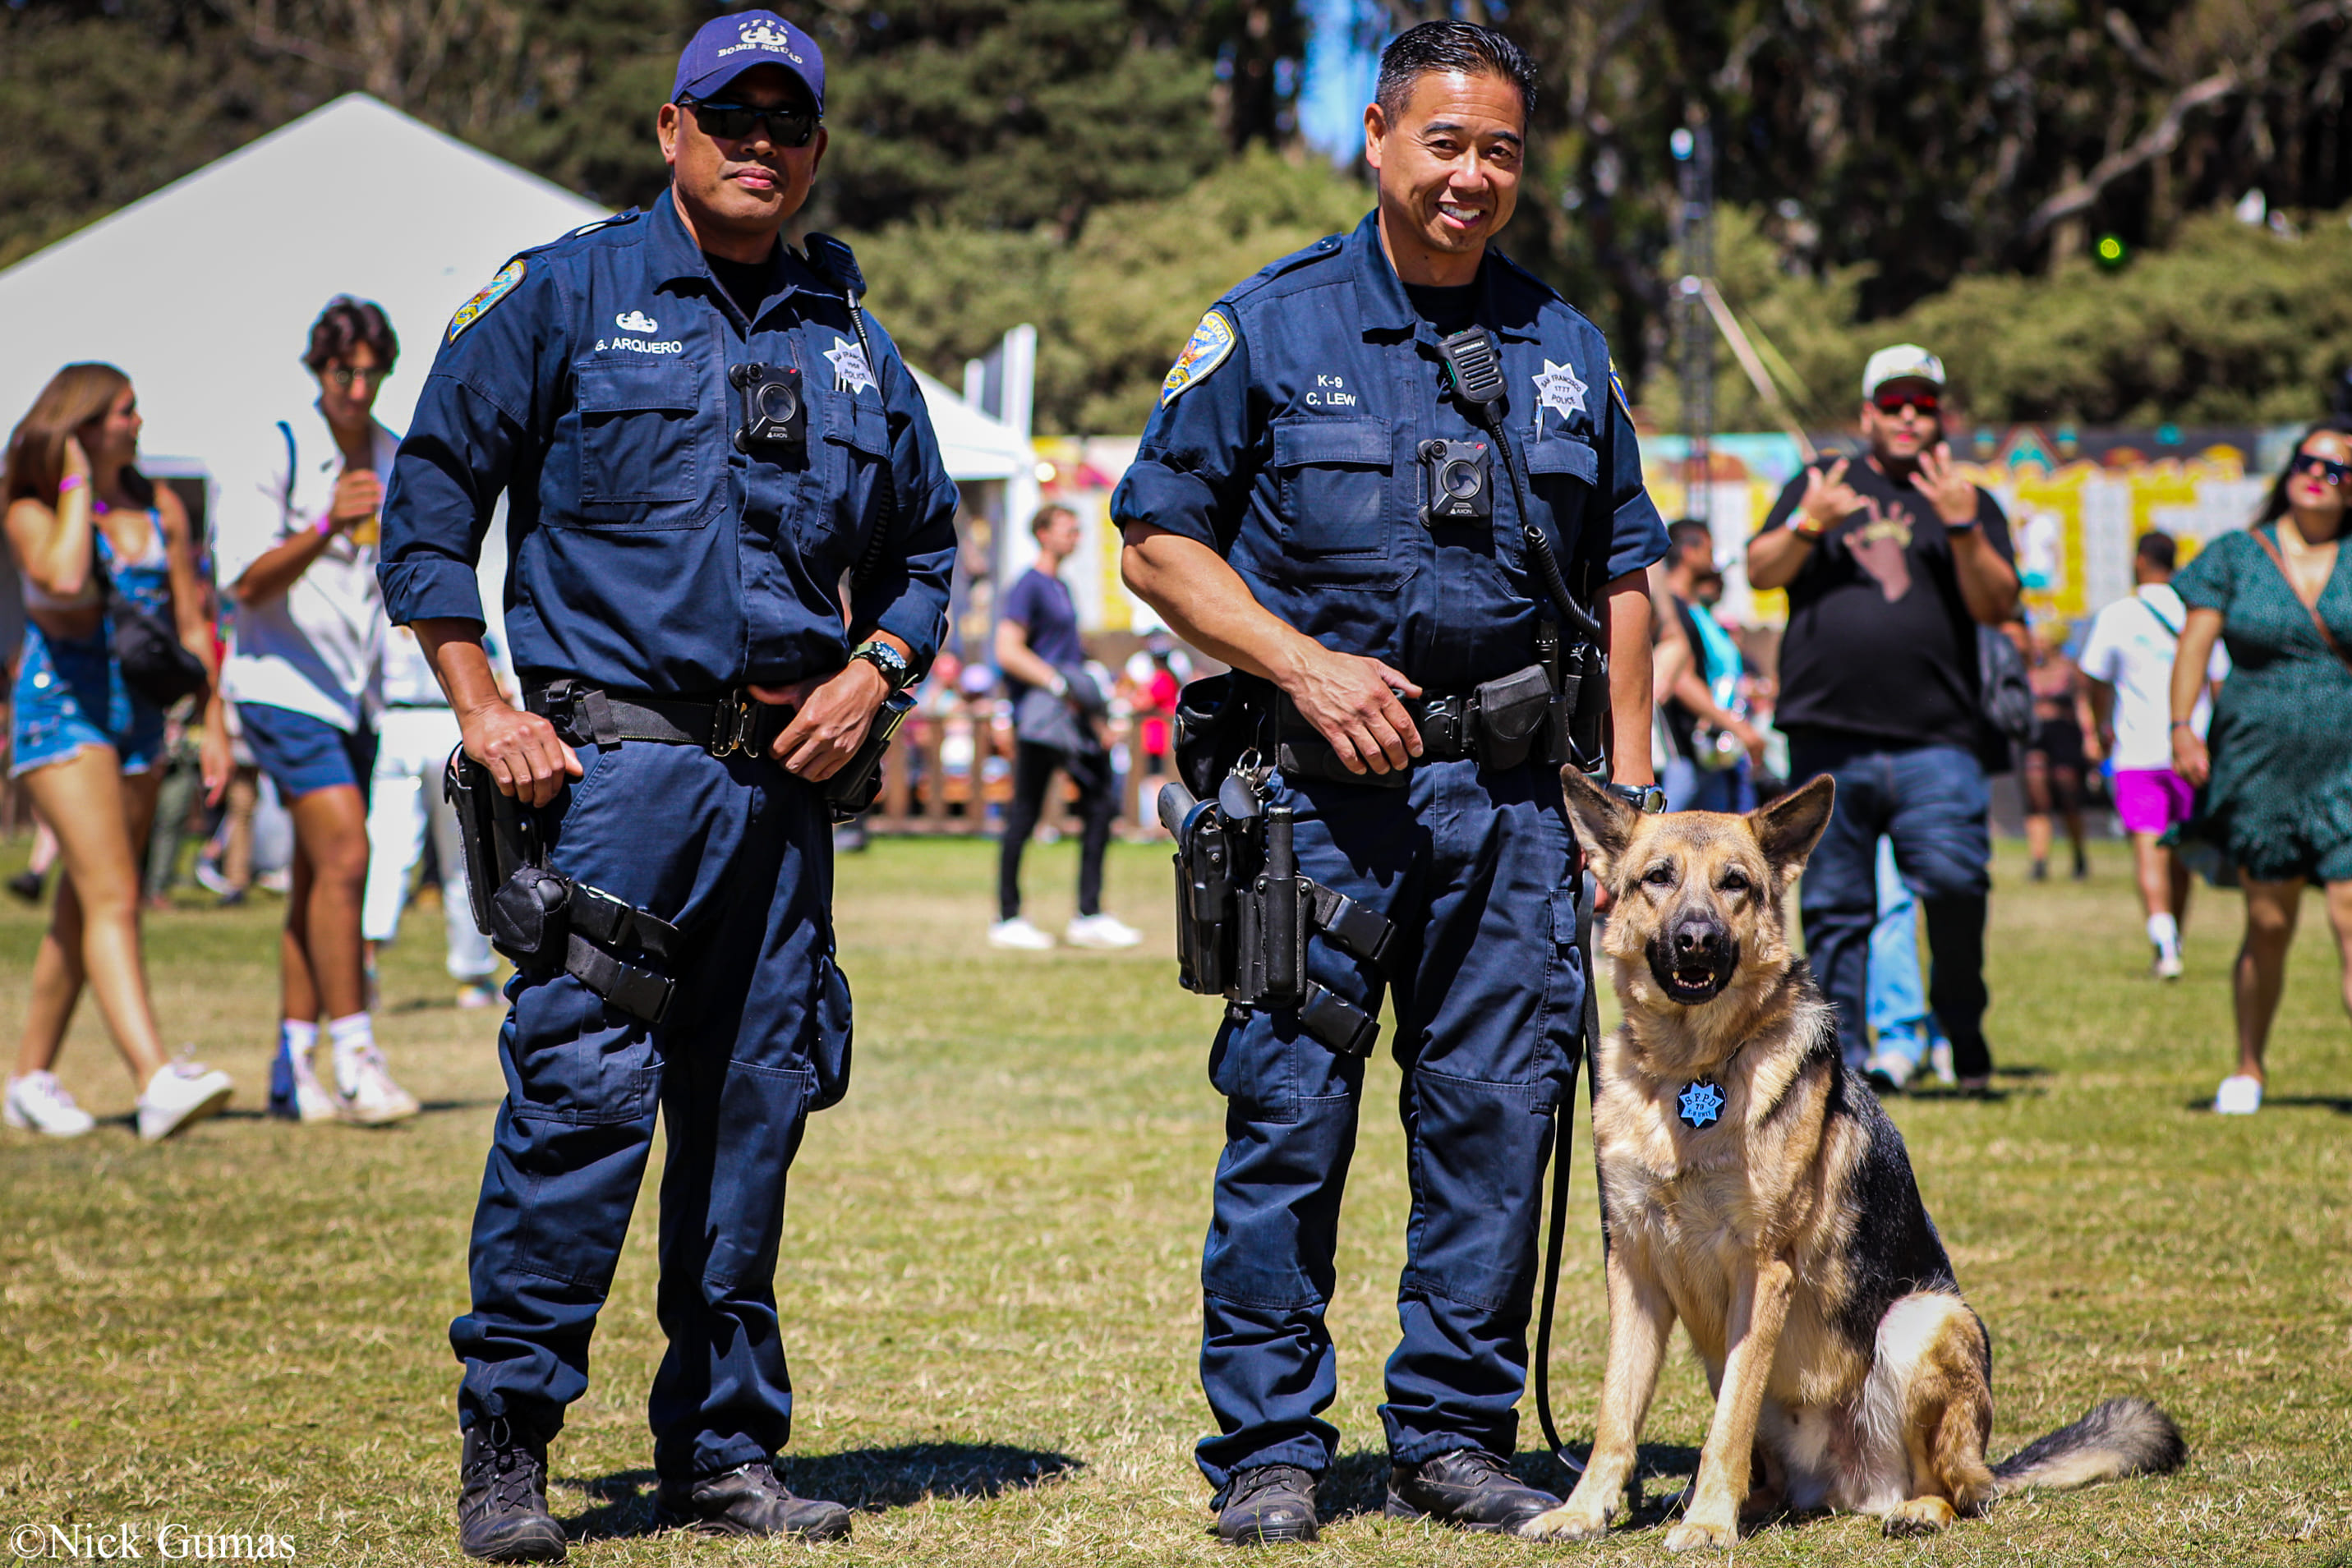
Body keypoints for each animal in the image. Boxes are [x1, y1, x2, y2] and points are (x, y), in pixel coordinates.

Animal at [1524, 770, 2182, 1542]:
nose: (1697, 939)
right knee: (1773, 1476)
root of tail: (1844, 1486)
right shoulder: (1632, 1266)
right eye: (1657, 877)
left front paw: (1709, 1524)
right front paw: (1584, 1508)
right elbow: (1616, 1413)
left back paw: (1912, 1508)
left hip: (1923, 1320)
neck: (1692, 1069)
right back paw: (1737, 1501)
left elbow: (1726, 1425)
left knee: (1958, 1490)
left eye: (1734, 883)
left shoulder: (1761, 1271)